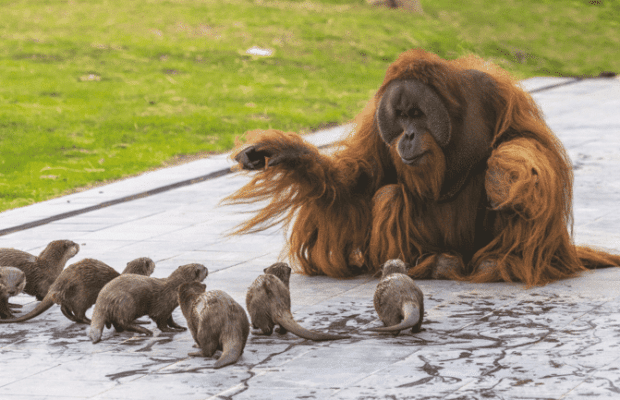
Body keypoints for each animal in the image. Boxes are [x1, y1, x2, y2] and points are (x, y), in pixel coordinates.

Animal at [0, 256, 155, 324]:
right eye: (150, 261)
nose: (153, 260)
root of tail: (59, 282)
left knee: (65, 308)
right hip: (82, 295)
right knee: (79, 312)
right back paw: (87, 320)